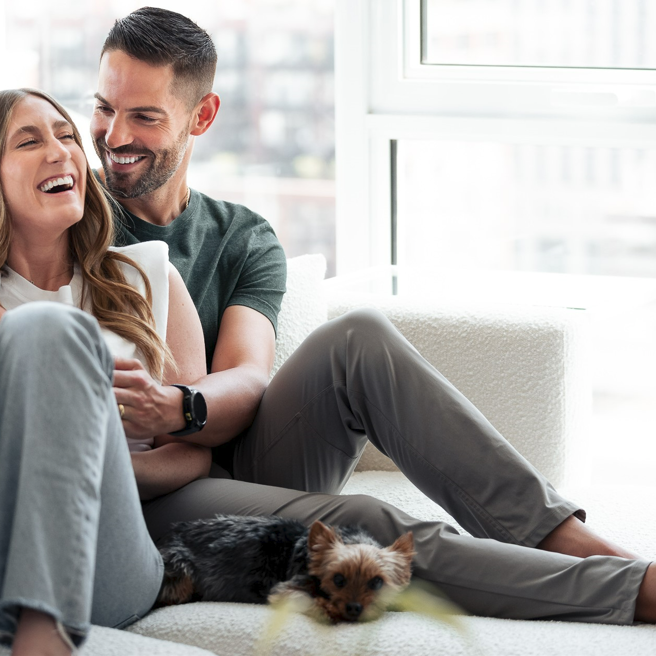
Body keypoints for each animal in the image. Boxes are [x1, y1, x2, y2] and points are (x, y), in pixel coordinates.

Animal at [156, 516, 412, 624]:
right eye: (338, 579)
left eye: (377, 582)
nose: (354, 608)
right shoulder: (286, 589)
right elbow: (307, 598)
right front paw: (327, 610)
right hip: (180, 573)